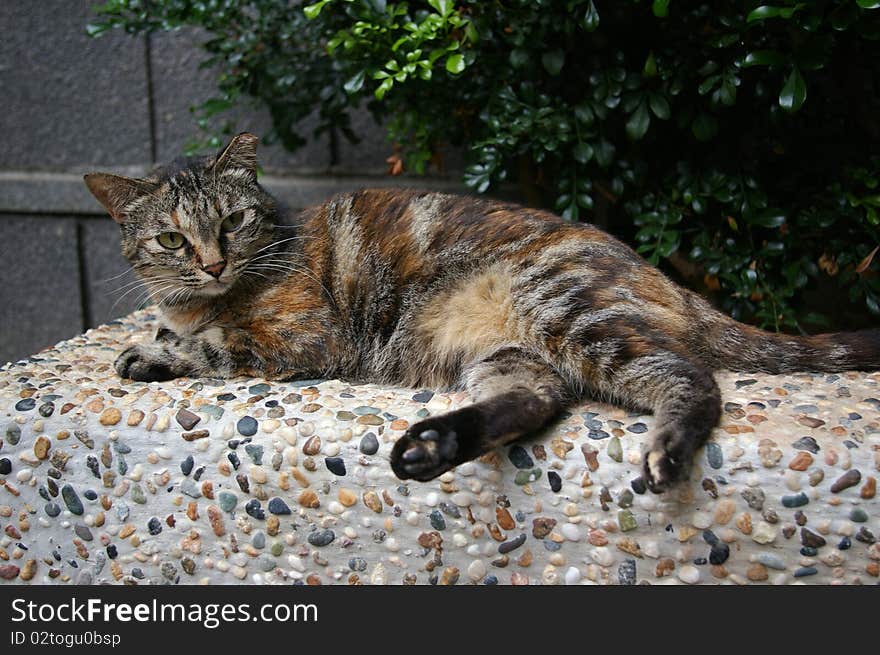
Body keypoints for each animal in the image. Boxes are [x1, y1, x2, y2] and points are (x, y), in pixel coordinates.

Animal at [84, 132, 880, 492]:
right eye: (170, 238)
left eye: (234, 221)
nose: (212, 262)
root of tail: (663, 277)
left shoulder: (302, 334)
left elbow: (215, 343)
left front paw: (152, 352)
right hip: (508, 353)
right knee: (538, 397)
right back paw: (434, 445)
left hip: (574, 314)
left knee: (691, 379)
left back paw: (669, 447)